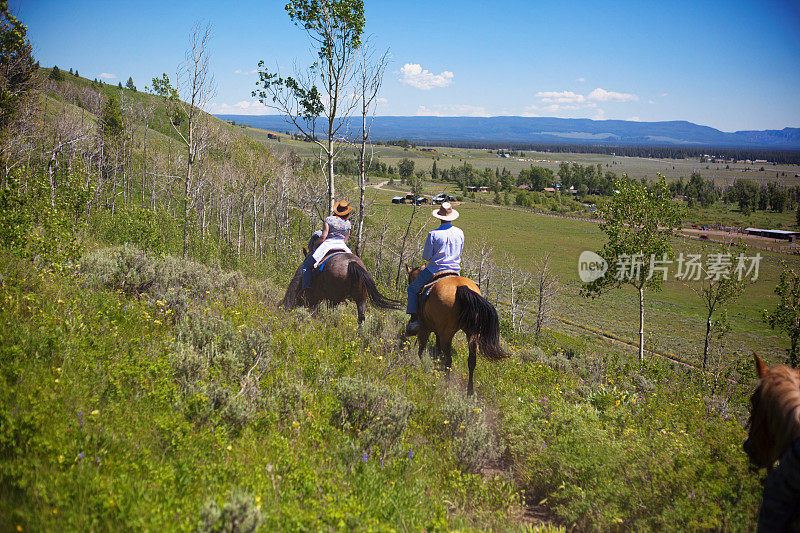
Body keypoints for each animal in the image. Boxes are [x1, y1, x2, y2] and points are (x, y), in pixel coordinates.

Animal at [406, 266, 506, 394]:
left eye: (409, 279)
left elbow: (421, 349)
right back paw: (469, 391)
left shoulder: (425, 328)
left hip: (447, 334)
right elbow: (437, 350)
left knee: (449, 360)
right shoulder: (437, 331)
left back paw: (446, 384)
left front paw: (422, 368)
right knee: (471, 361)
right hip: (471, 334)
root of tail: (460, 287)